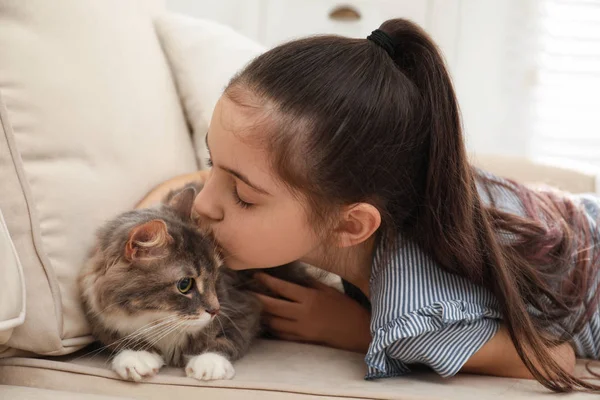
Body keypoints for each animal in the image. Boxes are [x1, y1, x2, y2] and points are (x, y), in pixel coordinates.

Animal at [79, 183, 312, 382]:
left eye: (216, 276)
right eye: (185, 285)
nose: (215, 310)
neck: (159, 321)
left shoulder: (244, 306)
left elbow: (224, 339)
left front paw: (208, 362)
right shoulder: (102, 319)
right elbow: (122, 341)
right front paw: (136, 356)